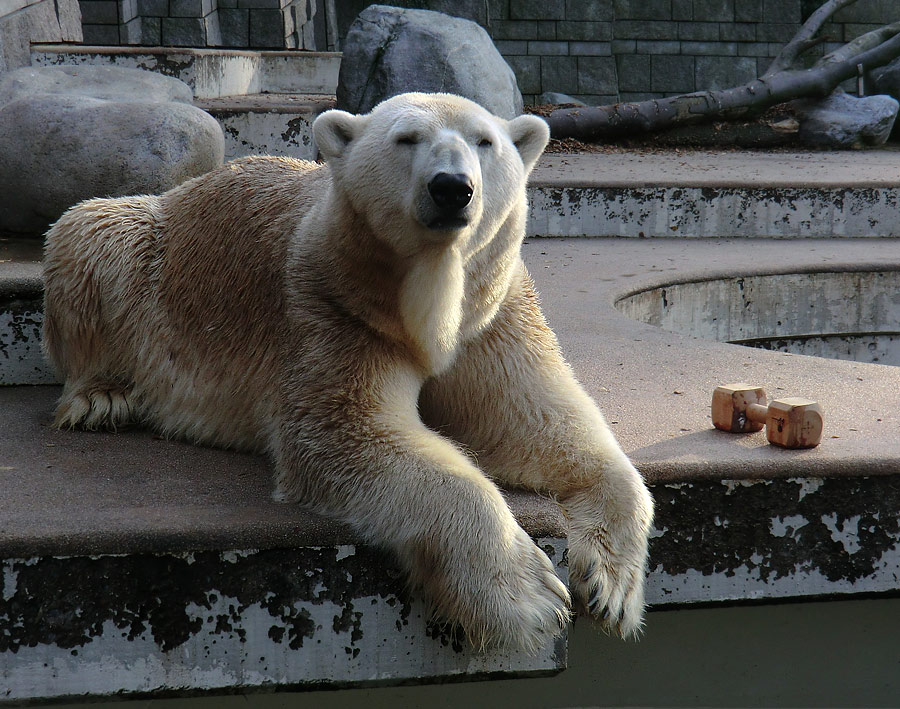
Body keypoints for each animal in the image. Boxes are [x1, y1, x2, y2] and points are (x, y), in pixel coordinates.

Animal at [42, 94, 652, 652]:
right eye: (406, 138)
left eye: (485, 141)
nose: (453, 188)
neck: (427, 306)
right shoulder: (335, 309)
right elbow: (347, 432)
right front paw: (532, 597)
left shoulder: (491, 314)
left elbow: (536, 420)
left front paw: (610, 586)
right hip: (146, 249)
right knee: (90, 230)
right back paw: (100, 397)